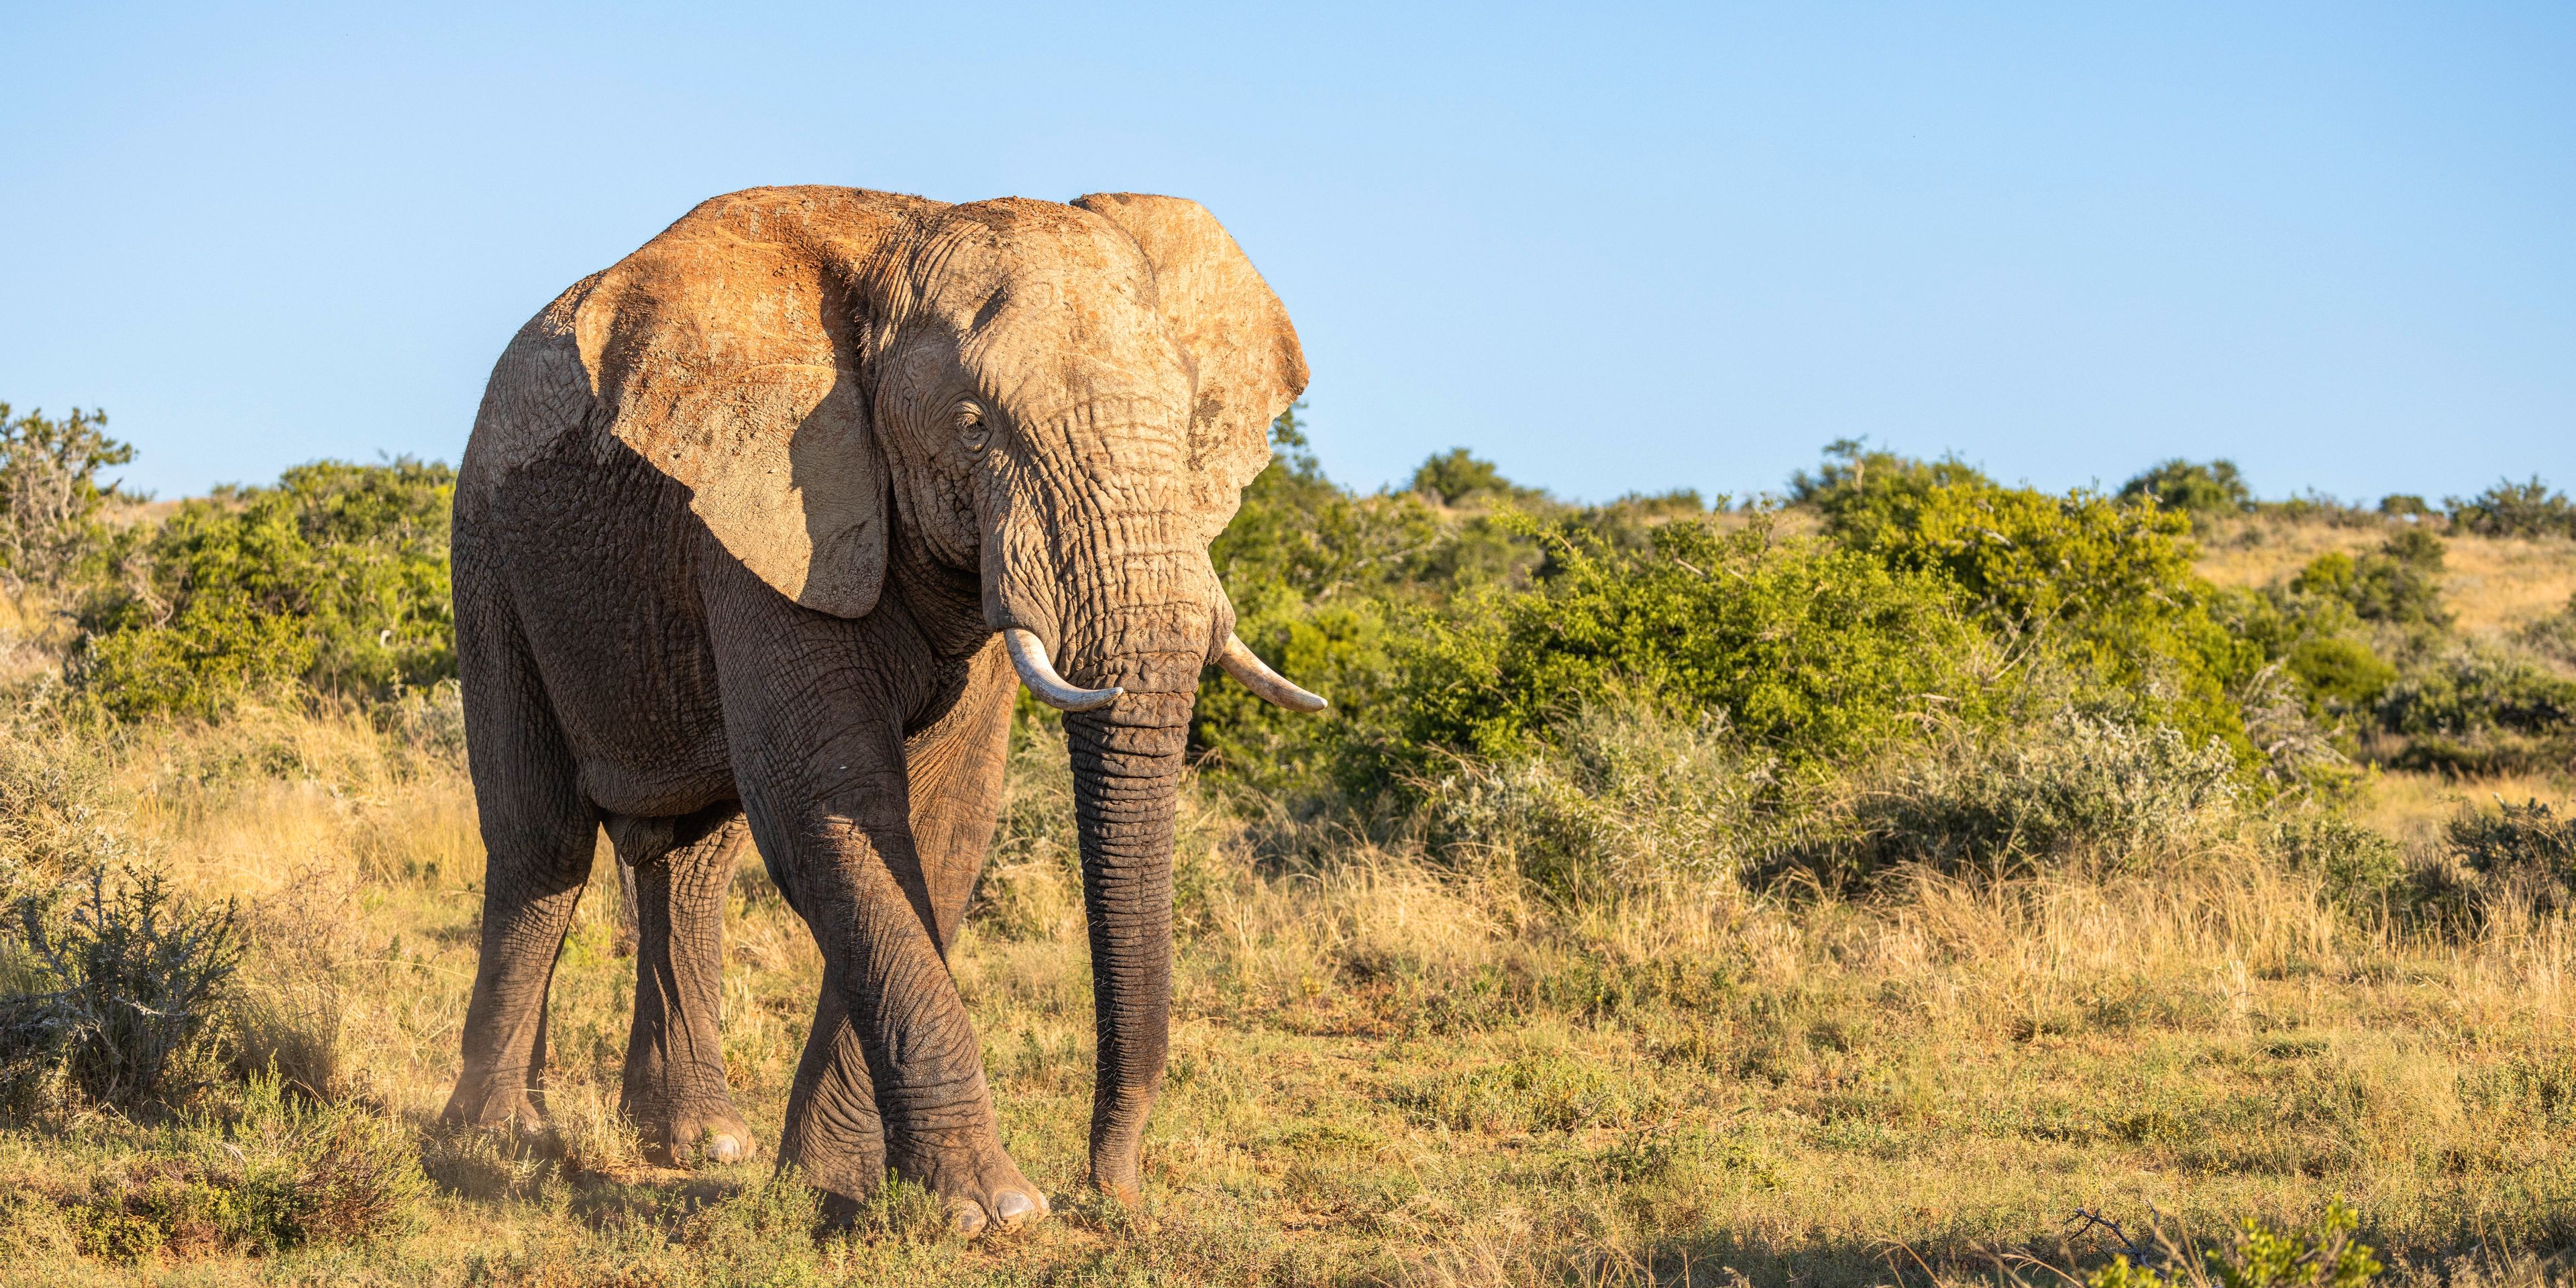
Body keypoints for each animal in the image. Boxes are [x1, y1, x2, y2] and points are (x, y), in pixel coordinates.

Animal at [440, 185, 1325, 1233]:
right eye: (975, 427)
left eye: (1189, 423)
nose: (1112, 1189)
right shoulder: (763, 516)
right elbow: (830, 810)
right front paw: (993, 1210)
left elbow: (939, 831)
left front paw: (835, 1188)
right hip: (487, 549)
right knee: (542, 843)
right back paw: (499, 1145)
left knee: (690, 861)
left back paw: (699, 1143)